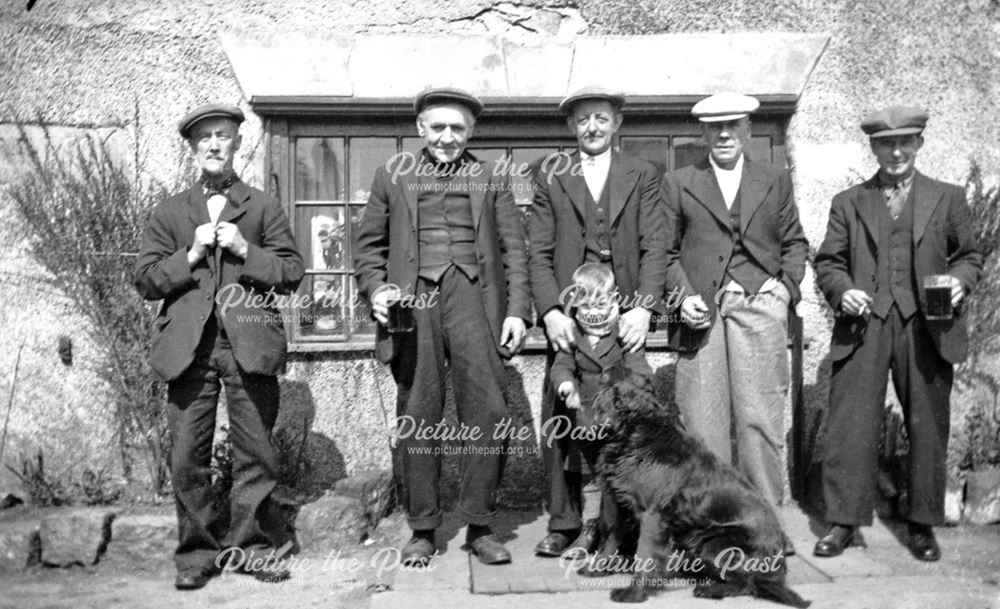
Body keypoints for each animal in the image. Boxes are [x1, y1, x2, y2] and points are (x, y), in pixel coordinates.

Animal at [588, 364, 808, 604]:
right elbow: (609, 538)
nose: (603, 366)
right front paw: (596, 569)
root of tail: (779, 565)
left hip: (714, 543)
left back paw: (711, 589)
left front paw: (634, 593)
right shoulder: (620, 502)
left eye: (603, 378)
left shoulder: (652, 514)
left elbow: (644, 554)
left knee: (749, 582)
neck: (636, 430)